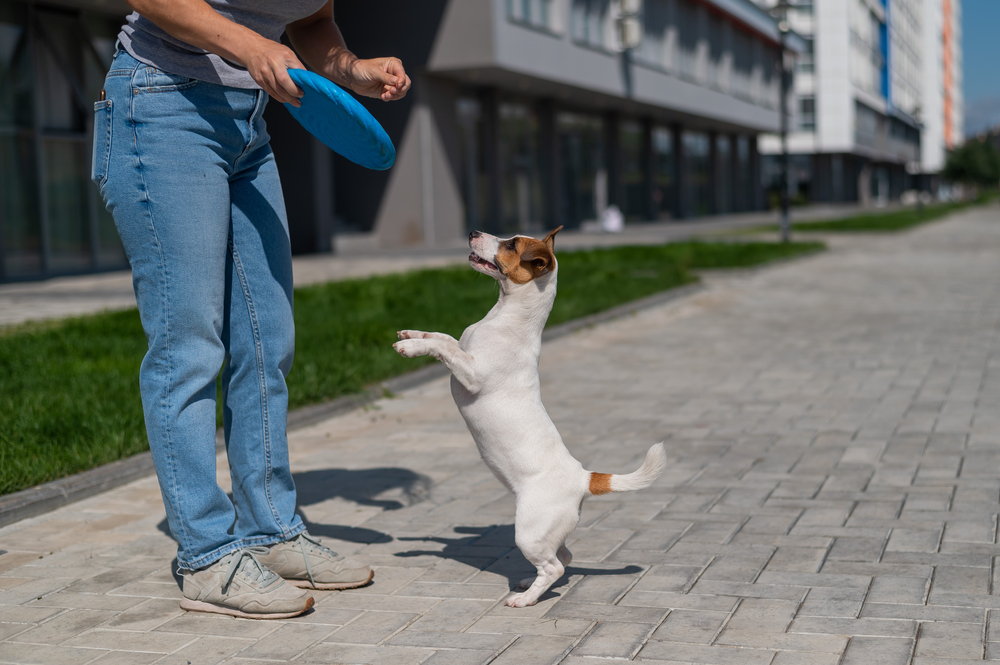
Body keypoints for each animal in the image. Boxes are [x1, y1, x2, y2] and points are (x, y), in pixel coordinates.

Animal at [394, 228, 668, 608]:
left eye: (511, 244)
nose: (473, 232)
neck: (505, 317)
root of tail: (584, 477)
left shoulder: (471, 373)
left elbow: (444, 347)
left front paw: (411, 347)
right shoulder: (463, 348)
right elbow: (443, 337)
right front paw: (413, 335)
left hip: (529, 531)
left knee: (554, 566)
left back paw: (525, 599)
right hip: (547, 533)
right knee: (564, 557)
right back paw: (527, 582)